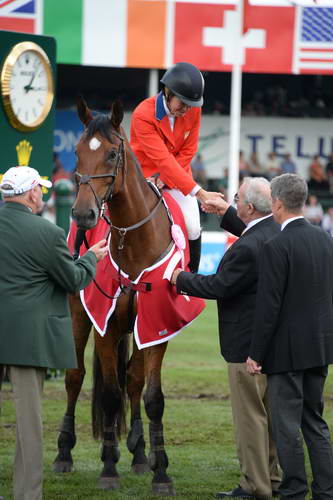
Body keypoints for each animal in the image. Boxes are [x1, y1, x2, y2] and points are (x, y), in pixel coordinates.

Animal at [52, 97, 183, 496]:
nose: (83, 213)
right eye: (77, 153)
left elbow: (151, 396)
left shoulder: (155, 328)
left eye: (112, 154)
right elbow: (109, 395)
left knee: (133, 381)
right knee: (75, 377)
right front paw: (108, 468)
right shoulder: (105, 325)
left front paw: (160, 471)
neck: (133, 242)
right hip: (78, 315)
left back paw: (139, 454)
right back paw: (64, 452)